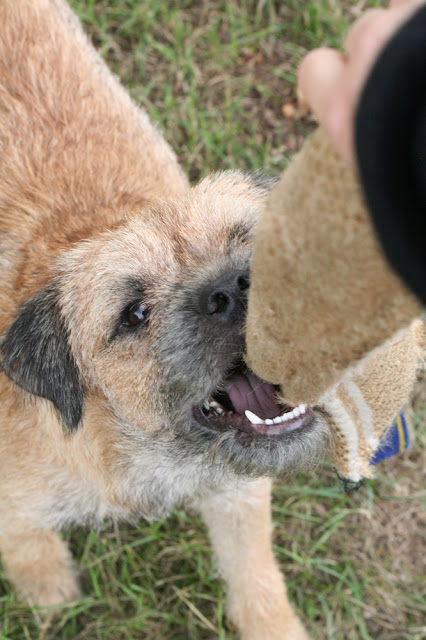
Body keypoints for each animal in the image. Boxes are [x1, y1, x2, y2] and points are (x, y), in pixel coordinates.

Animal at [0, 2, 330, 636]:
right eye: (135, 313)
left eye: (254, 246)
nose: (234, 287)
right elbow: (25, 542)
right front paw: (49, 595)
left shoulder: (235, 491)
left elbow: (255, 576)